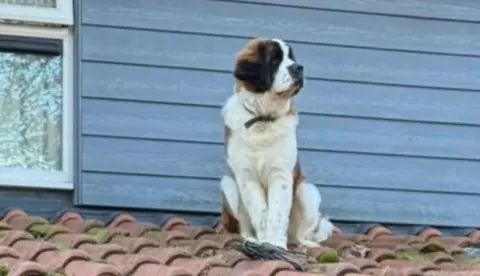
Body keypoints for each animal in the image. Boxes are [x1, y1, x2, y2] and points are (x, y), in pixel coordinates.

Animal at [218, 36, 334, 248]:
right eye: (275, 60)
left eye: (291, 57)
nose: (299, 67)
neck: (263, 119)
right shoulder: (247, 177)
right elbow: (261, 213)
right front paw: (265, 242)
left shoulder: (281, 175)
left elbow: (277, 214)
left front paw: (276, 245)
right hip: (228, 185)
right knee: (244, 226)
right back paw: (251, 239)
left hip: (307, 191)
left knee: (300, 234)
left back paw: (305, 244)